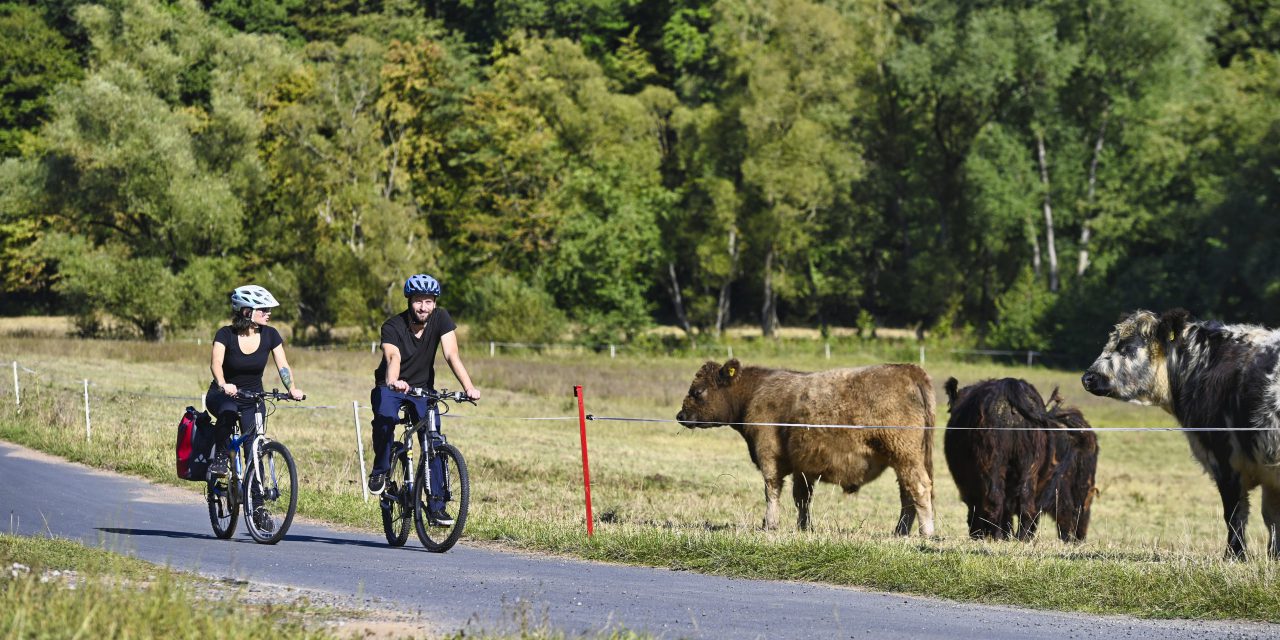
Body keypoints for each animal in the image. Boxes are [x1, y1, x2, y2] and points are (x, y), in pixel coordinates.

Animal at [675, 360, 936, 535]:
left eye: (697, 391)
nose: (680, 415)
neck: (755, 392)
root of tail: (908, 368)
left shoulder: (768, 454)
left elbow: (772, 490)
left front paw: (770, 524)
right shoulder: (804, 465)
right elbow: (802, 498)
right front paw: (803, 527)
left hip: (905, 455)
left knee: (919, 488)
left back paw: (926, 533)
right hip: (906, 459)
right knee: (907, 494)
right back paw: (900, 531)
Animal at [942, 376, 1100, 542]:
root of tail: (1010, 385)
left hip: (992, 464)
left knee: (995, 500)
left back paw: (997, 535)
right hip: (1033, 467)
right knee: (1031, 505)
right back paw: (1024, 538)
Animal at [1085, 307, 1280, 558]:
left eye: (1126, 347)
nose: (1088, 377)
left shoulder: (1225, 460)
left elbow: (1235, 514)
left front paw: (1234, 556)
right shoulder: (1267, 473)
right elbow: (1271, 518)